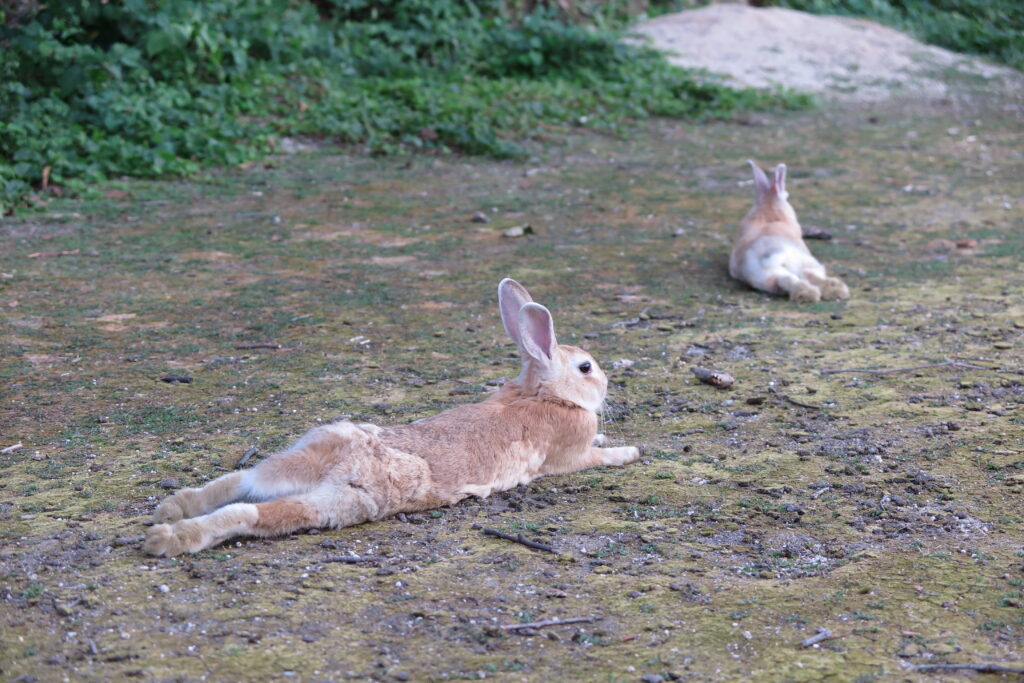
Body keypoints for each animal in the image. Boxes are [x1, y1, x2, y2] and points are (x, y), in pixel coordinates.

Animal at [146, 278, 638, 557]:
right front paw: (631, 451)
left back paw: (171, 510)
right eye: (586, 368)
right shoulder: (569, 456)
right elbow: (599, 456)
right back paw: (170, 540)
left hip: (296, 460)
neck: (542, 393)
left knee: (240, 480)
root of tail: (339, 456)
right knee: (250, 510)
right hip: (347, 502)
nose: (606, 383)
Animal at [733, 161, 851, 303]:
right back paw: (821, 293)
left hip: (772, 274)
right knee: (801, 276)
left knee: (791, 278)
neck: (769, 212)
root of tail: (775, 254)